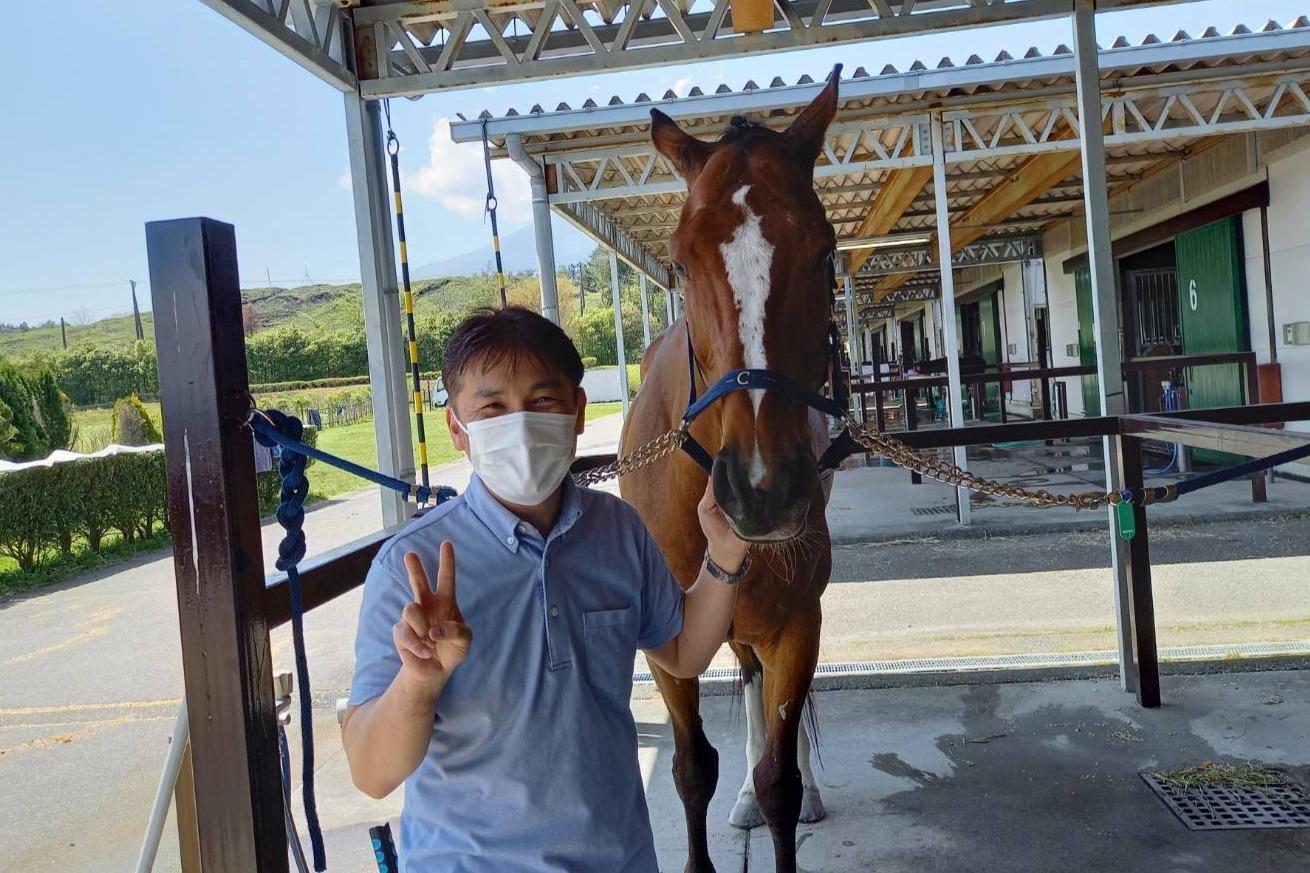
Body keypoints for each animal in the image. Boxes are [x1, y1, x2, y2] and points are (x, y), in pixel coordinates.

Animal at [618, 69, 842, 873]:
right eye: (681, 261)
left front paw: (786, 786)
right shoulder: (664, 645)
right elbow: (691, 769)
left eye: (825, 252)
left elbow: (781, 773)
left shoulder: (797, 622)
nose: (761, 488)